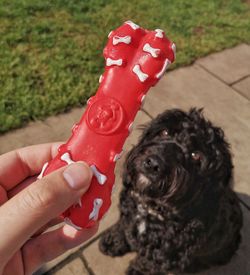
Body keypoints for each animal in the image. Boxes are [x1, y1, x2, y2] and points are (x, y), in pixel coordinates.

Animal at [99, 109, 242, 274]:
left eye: (196, 155)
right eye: (165, 132)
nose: (154, 163)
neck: (151, 208)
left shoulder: (166, 254)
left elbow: (147, 263)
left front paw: (137, 270)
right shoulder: (128, 216)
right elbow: (122, 227)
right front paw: (113, 241)